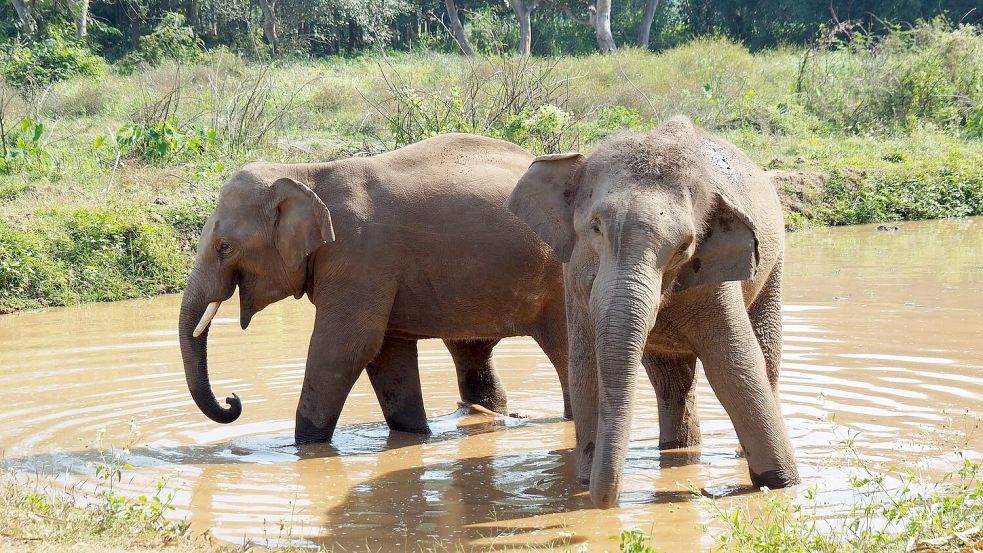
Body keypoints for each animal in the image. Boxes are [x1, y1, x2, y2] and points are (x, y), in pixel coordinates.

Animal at [179, 133, 576, 444]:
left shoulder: (359, 255)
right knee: (471, 351)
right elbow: (387, 351)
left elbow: (345, 347)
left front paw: (303, 450)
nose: (233, 400)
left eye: (224, 247)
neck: (305, 172)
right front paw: (415, 436)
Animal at [508, 116, 800, 508]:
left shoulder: (715, 278)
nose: (608, 501)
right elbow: (586, 366)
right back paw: (676, 449)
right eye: (595, 227)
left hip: (774, 266)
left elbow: (735, 365)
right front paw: (582, 482)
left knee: (764, 355)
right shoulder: (573, 278)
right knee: (670, 380)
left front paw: (782, 484)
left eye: (684, 247)